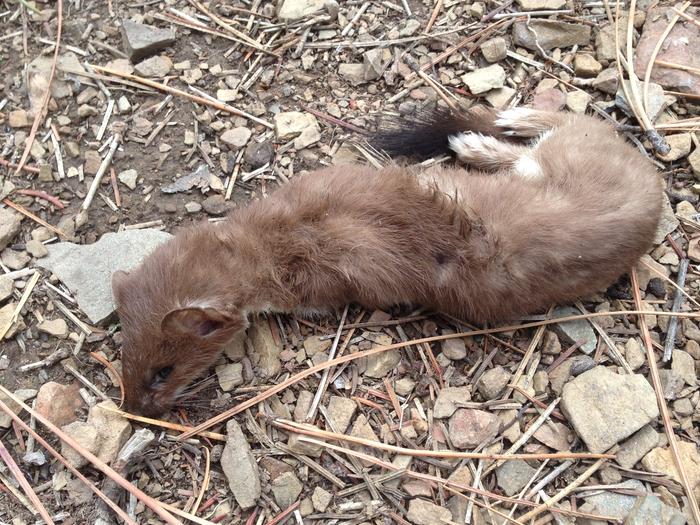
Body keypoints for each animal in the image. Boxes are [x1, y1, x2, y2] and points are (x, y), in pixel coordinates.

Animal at [113, 106, 660, 416]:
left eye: (161, 371)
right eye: (124, 358)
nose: (133, 409)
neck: (275, 235)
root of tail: (654, 196)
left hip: (572, 159)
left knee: (569, 125)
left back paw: (487, 133)